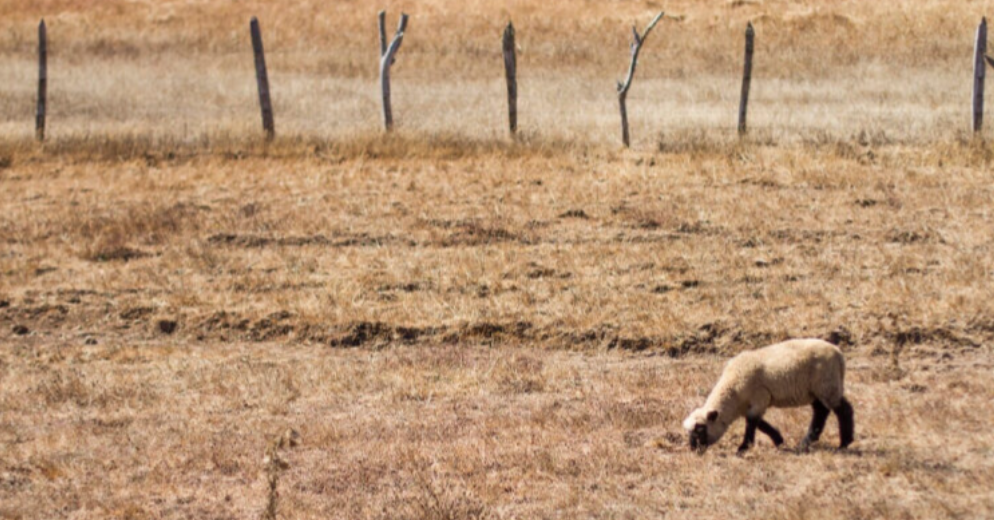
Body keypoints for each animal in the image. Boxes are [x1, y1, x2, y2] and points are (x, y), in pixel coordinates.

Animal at [680, 340, 852, 452]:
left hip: (827, 384)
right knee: (821, 411)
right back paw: (807, 441)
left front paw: (743, 447)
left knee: (842, 409)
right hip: (816, 389)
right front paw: (778, 440)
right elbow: (759, 423)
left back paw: (844, 442)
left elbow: (752, 422)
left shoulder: (759, 398)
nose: (694, 450)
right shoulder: (751, 404)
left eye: (700, 429)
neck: (733, 393)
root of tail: (839, 354)